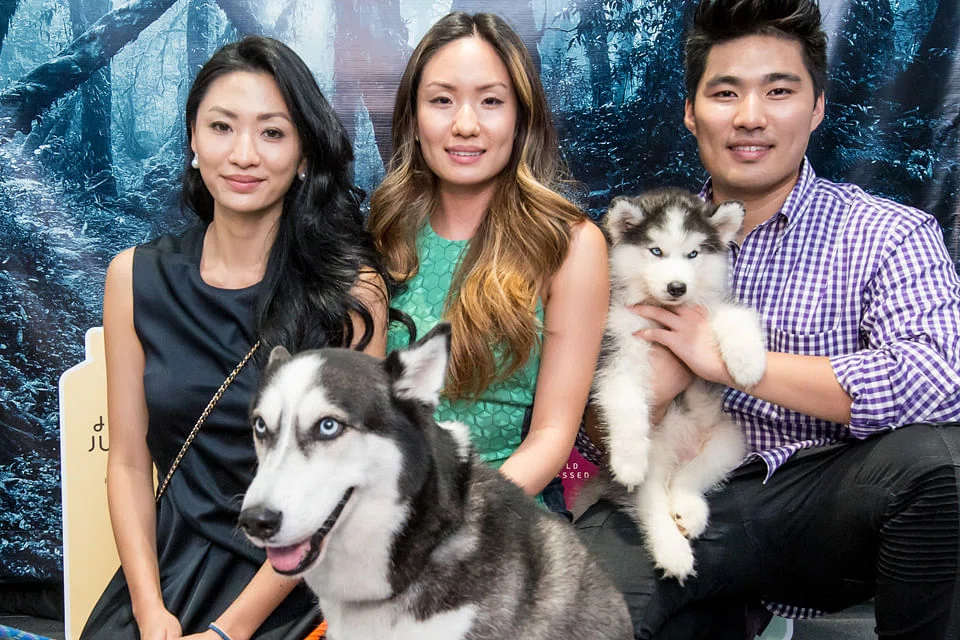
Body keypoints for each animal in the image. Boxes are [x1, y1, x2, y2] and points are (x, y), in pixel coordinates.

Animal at [589, 188, 766, 582]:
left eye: (693, 254)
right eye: (655, 251)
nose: (677, 287)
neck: (664, 314)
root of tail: (678, 453)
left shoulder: (706, 309)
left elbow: (737, 316)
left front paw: (747, 362)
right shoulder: (616, 354)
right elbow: (625, 402)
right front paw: (628, 459)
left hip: (729, 439)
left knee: (689, 477)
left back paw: (688, 508)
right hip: (656, 458)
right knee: (651, 502)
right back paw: (672, 550)